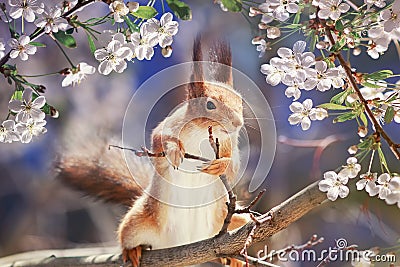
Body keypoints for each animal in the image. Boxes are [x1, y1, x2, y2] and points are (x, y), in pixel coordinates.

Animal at [57, 36, 248, 266]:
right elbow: (159, 140)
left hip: (233, 219)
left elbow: (234, 165)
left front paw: (220, 165)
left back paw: (235, 257)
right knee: (126, 235)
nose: (238, 123)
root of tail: (188, 241)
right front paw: (175, 151)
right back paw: (132, 250)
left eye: (240, 101)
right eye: (210, 105)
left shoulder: (229, 143)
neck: (202, 135)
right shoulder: (169, 126)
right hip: (138, 221)